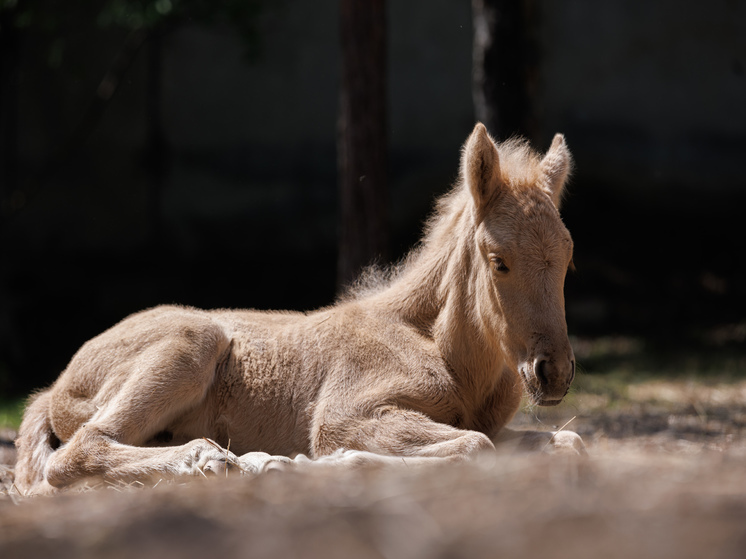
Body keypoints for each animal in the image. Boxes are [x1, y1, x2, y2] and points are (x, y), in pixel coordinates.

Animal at [11, 122, 580, 494]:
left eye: (568, 257)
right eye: (499, 260)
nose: (553, 372)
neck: (441, 350)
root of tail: (55, 388)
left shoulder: (498, 427)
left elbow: (565, 441)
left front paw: (288, 465)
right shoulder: (347, 414)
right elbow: (472, 447)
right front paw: (322, 463)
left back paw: (247, 461)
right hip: (189, 344)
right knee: (78, 451)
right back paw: (210, 461)